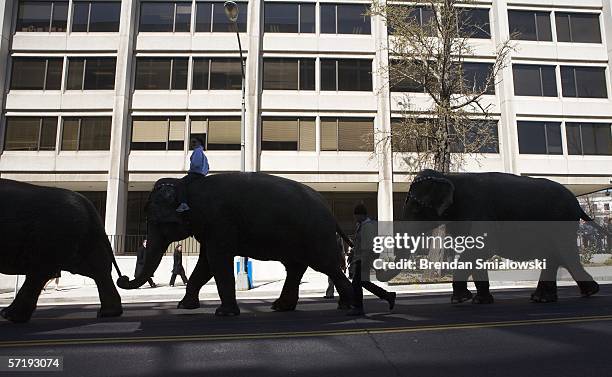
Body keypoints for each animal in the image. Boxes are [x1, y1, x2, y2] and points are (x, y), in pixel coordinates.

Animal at [0, 178, 124, 322]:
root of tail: (87, 205)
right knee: (97, 268)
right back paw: (108, 313)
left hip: (53, 235)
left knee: (41, 271)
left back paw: (9, 315)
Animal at [117, 172, 354, 316]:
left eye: (158, 222)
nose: (123, 278)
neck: (188, 185)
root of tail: (330, 210)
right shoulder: (210, 228)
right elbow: (205, 265)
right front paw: (184, 306)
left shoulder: (220, 222)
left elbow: (217, 261)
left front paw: (224, 313)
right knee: (296, 268)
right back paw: (281, 307)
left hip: (316, 235)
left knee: (327, 266)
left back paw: (347, 305)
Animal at [404, 169, 600, 304]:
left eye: (416, 208)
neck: (450, 177)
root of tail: (577, 203)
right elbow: (476, 251)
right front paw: (480, 301)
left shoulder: (479, 210)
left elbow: (484, 247)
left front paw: (461, 299)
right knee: (556, 256)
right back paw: (544, 298)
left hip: (562, 222)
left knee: (563, 254)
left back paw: (588, 292)